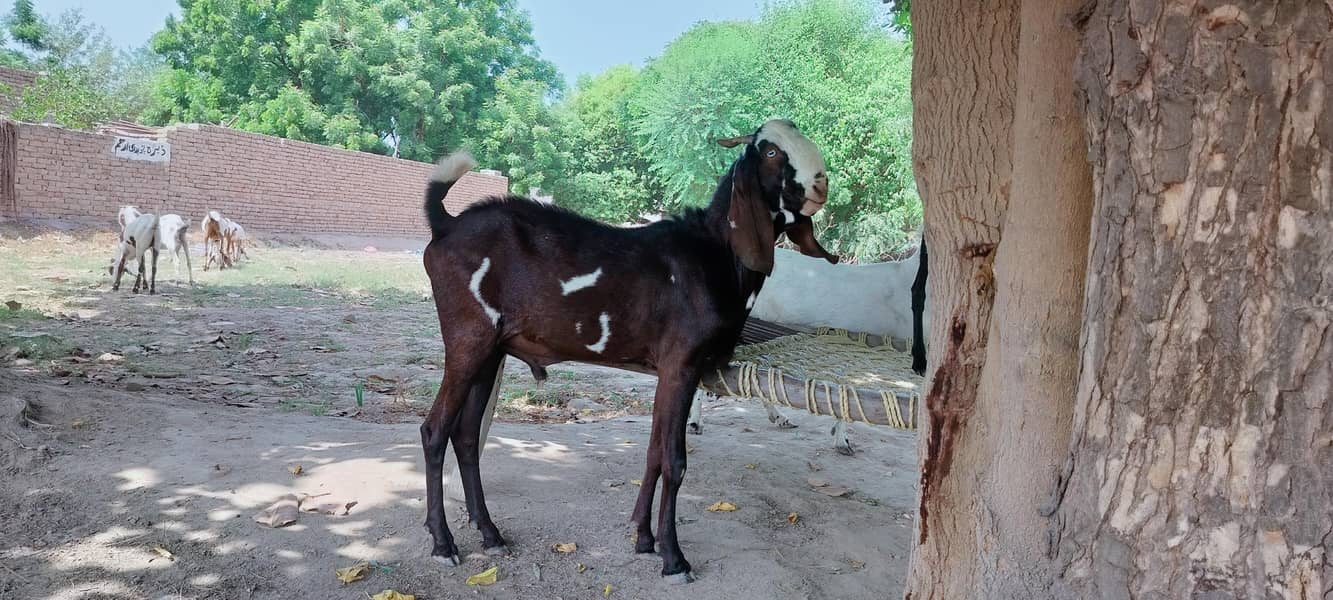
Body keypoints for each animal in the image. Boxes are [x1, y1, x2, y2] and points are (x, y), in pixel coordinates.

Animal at [419, 119, 835, 583]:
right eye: (770, 152)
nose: (821, 183)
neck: (715, 254)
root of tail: (445, 224)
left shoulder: (671, 372)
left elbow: (653, 452)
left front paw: (643, 538)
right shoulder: (681, 365)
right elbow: (674, 460)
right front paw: (674, 558)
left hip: (491, 350)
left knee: (465, 435)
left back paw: (490, 534)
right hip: (467, 339)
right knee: (435, 431)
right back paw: (443, 544)